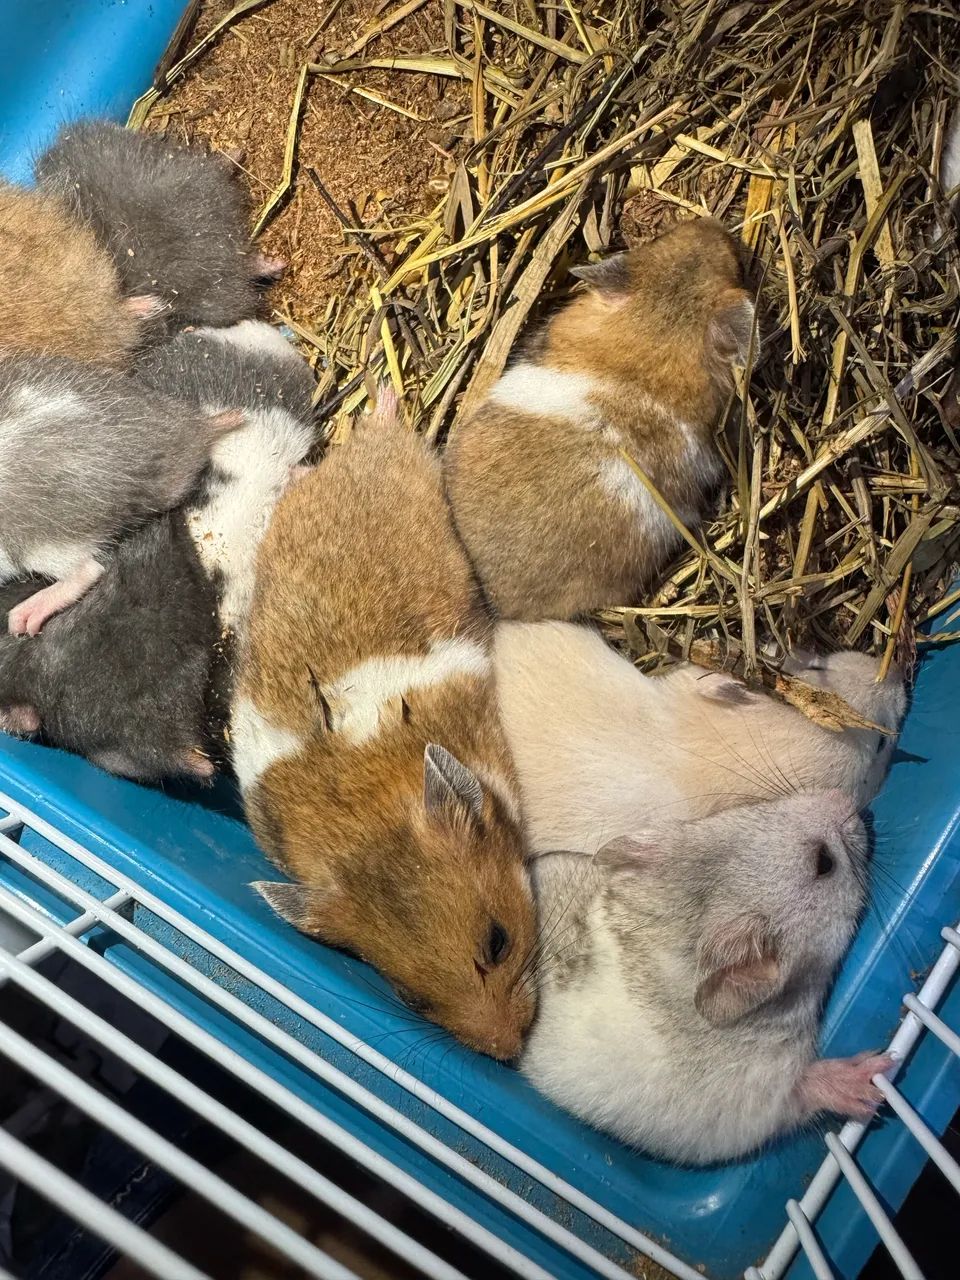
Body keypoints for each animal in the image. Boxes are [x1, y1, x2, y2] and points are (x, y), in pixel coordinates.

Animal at [522, 791, 893, 1164]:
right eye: (824, 862)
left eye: (756, 808)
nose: (845, 797)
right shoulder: (748, 1102)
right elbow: (798, 1093)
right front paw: (874, 1078)